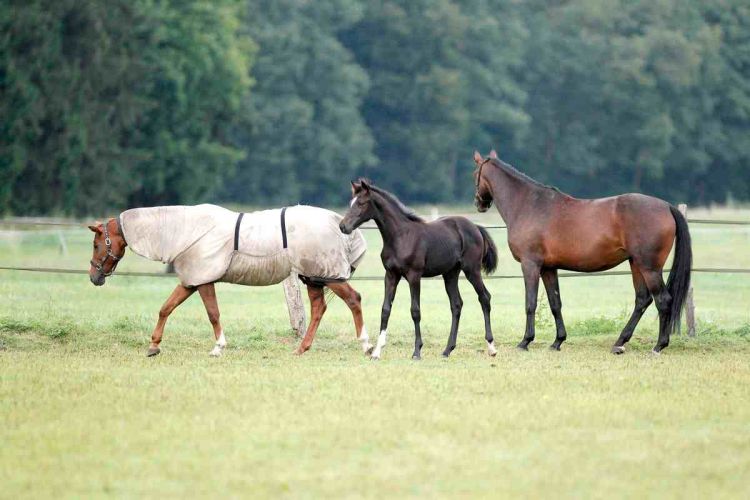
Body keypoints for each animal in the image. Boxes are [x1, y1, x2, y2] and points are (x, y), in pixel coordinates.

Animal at [89, 205, 372, 358]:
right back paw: (302, 348)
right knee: (318, 309)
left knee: (353, 300)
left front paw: (218, 347)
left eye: (95, 244)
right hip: (314, 277)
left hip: (329, 275)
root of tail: (339, 224)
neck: (184, 230)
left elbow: (213, 314)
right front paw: (153, 346)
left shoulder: (203, 281)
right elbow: (166, 308)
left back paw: (366, 345)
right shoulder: (191, 281)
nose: (94, 277)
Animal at [340, 180, 500, 360]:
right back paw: (447, 350)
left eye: (361, 203)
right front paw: (376, 352)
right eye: (351, 203)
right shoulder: (391, 275)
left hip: (472, 270)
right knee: (456, 305)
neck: (400, 236)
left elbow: (415, 311)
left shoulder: (414, 276)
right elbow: (385, 309)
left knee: (484, 298)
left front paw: (417, 351)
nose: (343, 226)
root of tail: (475, 227)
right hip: (450, 274)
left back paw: (491, 347)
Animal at [472, 150, 696, 354]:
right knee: (642, 300)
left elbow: (530, 303)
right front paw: (558, 341)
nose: (478, 203)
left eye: (475, 174)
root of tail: (666, 207)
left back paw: (659, 346)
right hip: (636, 264)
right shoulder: (548, 268)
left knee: (663, 300)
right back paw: (620, 343)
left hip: (649, 267)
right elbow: (555, 303)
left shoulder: (530, 265)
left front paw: (525, 341)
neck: (530, 205)